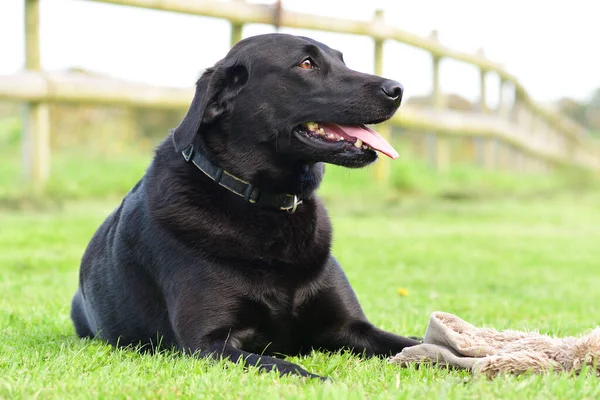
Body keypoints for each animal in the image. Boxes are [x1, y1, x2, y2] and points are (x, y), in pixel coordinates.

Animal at [71, 33, 418, 378]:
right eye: (307, 64)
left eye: (342, 60)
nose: (397, 89)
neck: (267, 204)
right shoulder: (208, 344)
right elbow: (292, 369)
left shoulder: (351, 327)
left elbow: (409, 344)